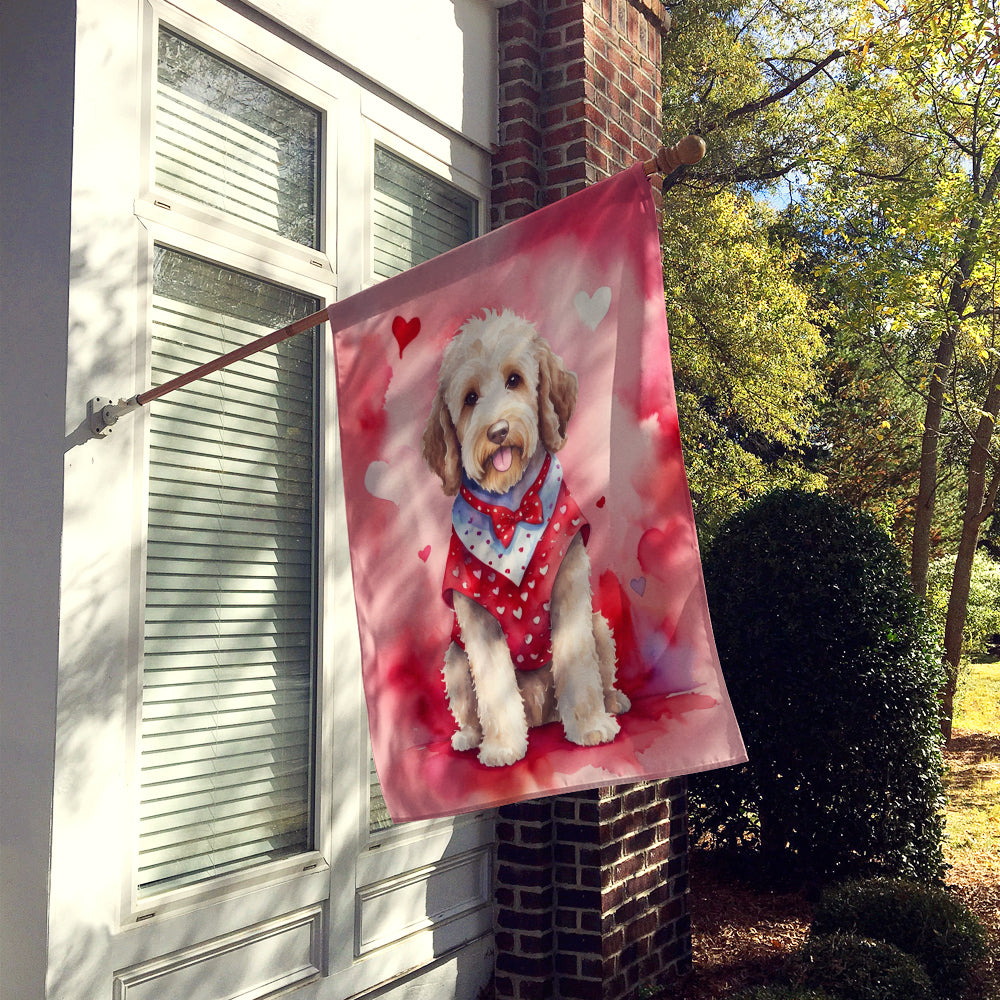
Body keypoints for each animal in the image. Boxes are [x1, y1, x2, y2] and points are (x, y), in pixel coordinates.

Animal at [420, 308, 624, 768]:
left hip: (600, 625)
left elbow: (578, 666)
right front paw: (502, 748)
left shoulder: (570, 589)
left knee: (600, 674)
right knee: (473, 706)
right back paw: (470, 737)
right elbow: (494, 687)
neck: (511, 511)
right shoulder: (476, 621)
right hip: (454, 660)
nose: (497, 431)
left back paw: (613, 702)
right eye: (470, 398)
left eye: (515, 379)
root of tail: (542, 714)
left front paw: (590, 727)